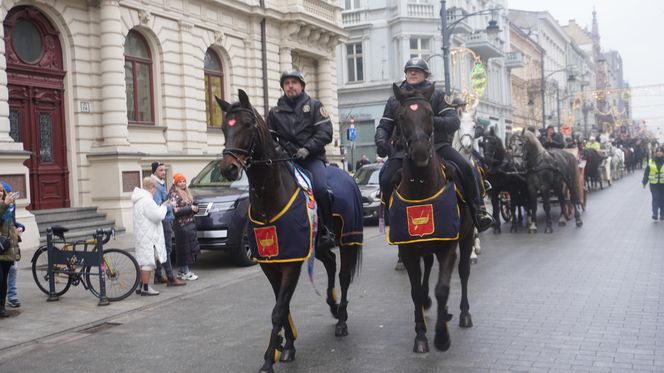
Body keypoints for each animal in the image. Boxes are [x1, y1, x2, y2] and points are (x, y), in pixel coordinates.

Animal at [217, 90, 364, 372]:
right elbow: (281, 307)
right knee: (330, 263)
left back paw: (341, 319)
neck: (270, 199)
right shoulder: (272, 263)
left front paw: (268, 359)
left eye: (247, 124)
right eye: (223, 127)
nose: (228, 168)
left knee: (342, 276)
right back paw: (332, 305)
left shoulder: (292, 263)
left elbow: (279, 309)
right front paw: (287, 345)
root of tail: (349, 176)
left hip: (349, 240)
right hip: (317, 246)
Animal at [386, 83, 474, 354]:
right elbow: (415, 291)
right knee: (426, 272)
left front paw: (441, 337)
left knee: (463, 273)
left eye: (429, 114)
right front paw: (421, 335)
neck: (421, 186)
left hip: (467, 237)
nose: (420, 152)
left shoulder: (449, 246)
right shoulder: (408, 248)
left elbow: (443, 288)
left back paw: (463, 314)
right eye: (401, 116)